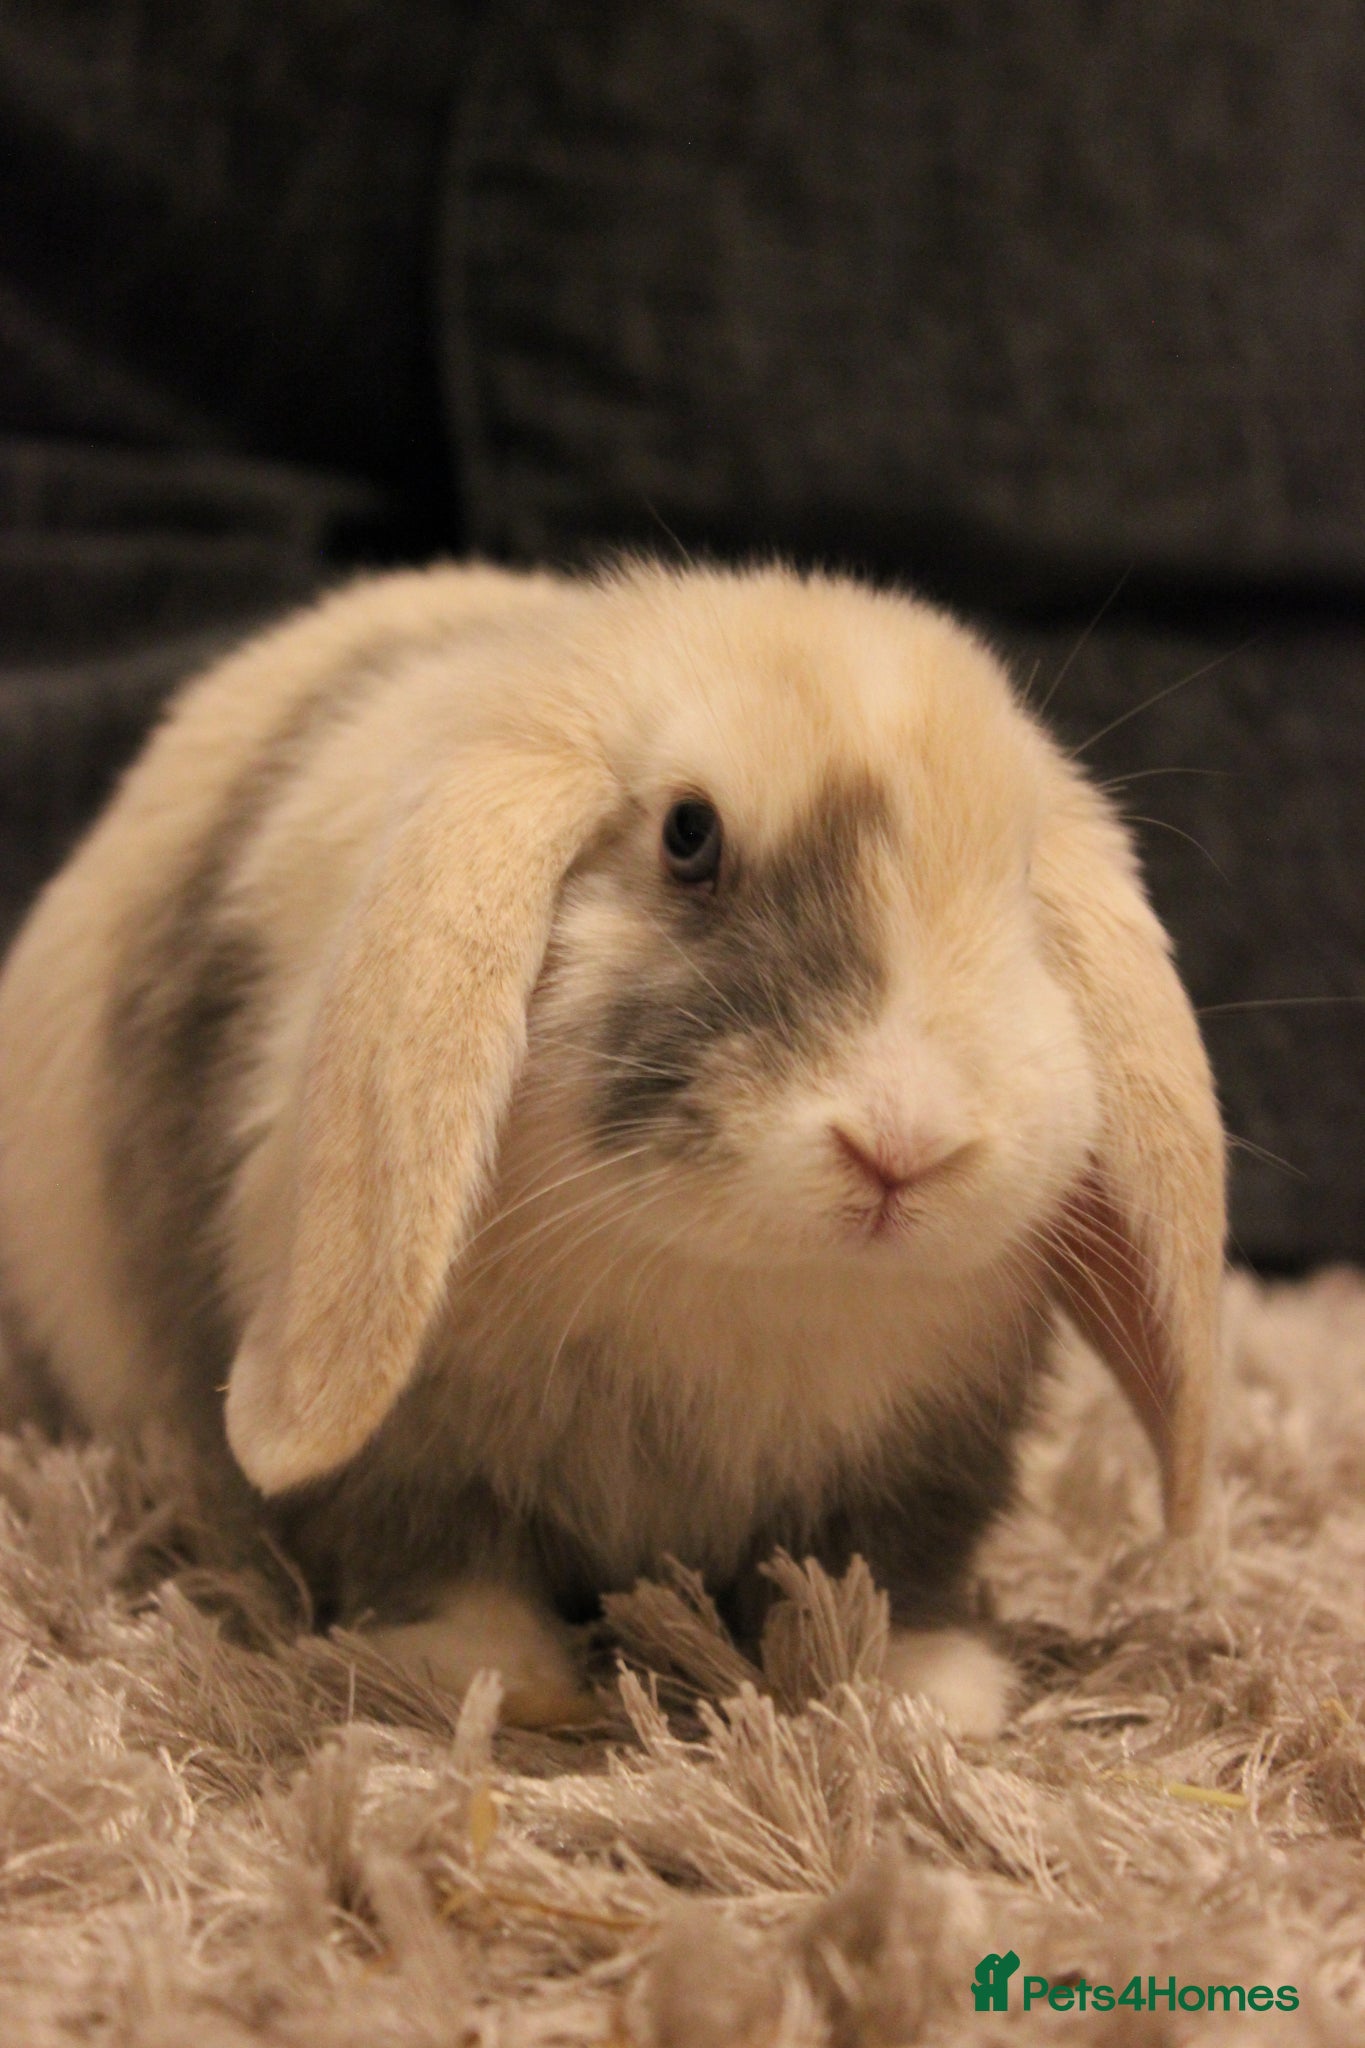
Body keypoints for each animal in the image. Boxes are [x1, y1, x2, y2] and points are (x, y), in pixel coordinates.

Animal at [0, 560, 1225, 1734]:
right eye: (690, 834)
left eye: (1018, 877)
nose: (904, 1144)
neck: (741, 1280)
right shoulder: (412, 1446)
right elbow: (435, 1555)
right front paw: (495, 1680)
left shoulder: (928, 1451)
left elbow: (883, 1563)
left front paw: (926, 1689)